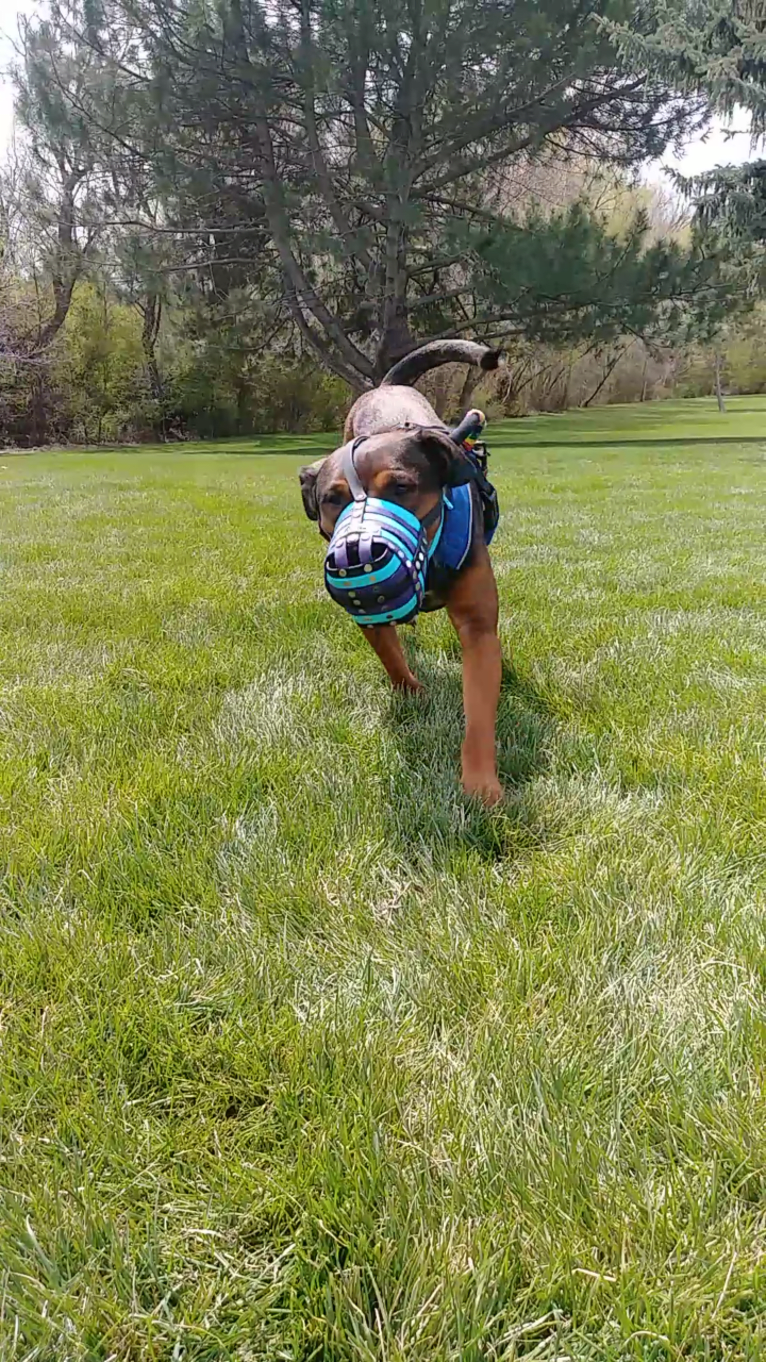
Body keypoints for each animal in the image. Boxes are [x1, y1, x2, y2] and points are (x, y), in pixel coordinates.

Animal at [299, 343, 507, 806]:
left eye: (401, 487)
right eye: (332, 499)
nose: (357, 551)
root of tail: (385, 385)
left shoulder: (477, 626)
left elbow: (479, 712)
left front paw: (480, 783)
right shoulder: (367, 612)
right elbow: (390, 655)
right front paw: (411, 690)